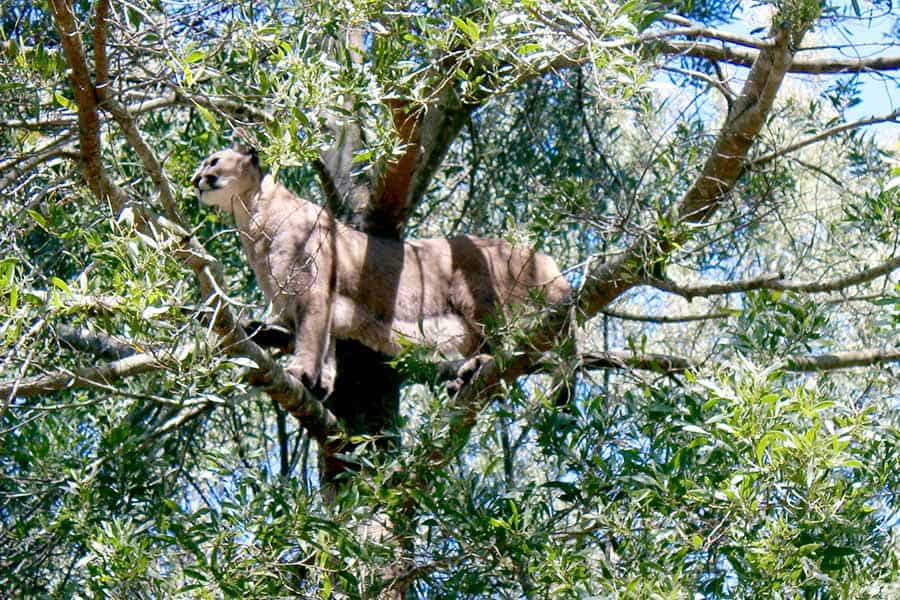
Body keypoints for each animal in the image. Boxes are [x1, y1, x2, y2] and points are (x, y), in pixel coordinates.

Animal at [192, 145, 568, 396]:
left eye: (213, 161)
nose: (195, 179)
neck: (251, 213)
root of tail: (539, 255)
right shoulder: (305, 303)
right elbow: (321, 340)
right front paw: (320, 381)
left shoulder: (312, 290)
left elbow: (310, 338)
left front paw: (301, 373)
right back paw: (463, 376)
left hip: (480, 299)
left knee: (508, 344)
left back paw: (476, 369)